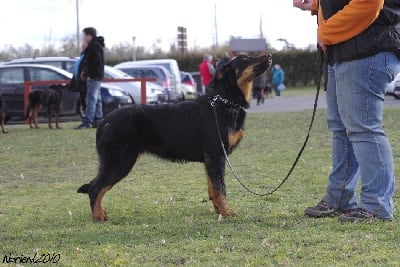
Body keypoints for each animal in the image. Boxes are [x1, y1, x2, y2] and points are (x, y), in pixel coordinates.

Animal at [78, 54, 272, 222]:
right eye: (245, 58)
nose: (269, 55)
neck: (225, 102)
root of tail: (105, 121)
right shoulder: (217, 156)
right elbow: (220, 188)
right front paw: (226, 212)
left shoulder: (211, 161)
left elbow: (212, 188)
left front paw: (218, 210)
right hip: (120, 162)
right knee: (95, 187)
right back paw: (98, 216)